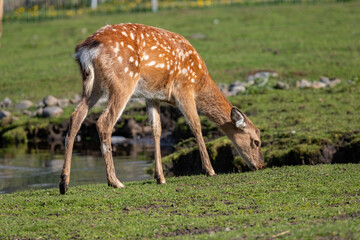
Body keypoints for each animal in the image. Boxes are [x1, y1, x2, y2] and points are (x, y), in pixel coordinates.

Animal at [59, 23, 264, 194]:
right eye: (256, 142)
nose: (261, 165)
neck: (199, 81)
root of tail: (85, 49)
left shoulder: (152, 96)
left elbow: (156, 130)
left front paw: (160, 178)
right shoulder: (184, 89)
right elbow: (196, 125)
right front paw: (210, 170)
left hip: (91, 85)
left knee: (76, 117)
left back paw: (64, 183)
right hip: (122, 81)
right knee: (103, 122)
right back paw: (115, 182)